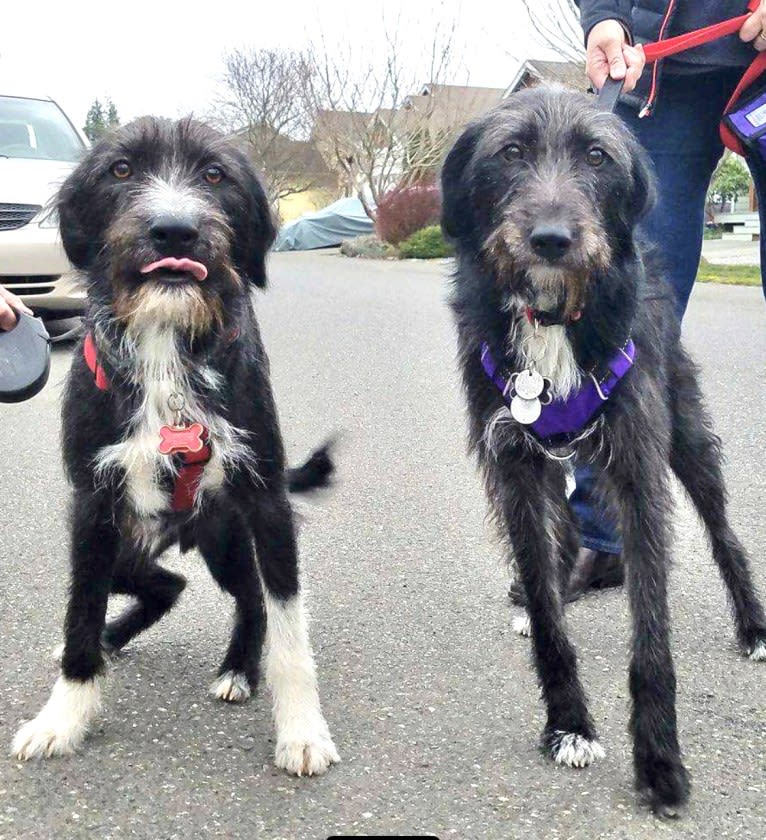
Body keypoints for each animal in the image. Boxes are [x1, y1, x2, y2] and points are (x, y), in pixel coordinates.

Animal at [10, 115, 340, 776]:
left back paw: (238, 668)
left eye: (214, 175)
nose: (174, 228)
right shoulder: (91, 508)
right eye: (121, 170)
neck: (168, 347)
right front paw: (63, 716)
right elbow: (79, 611)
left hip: (226, 536)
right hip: (127, 547)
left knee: (249, 599)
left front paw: (301, 728)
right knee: (162, 586)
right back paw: (111, 640)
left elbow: (290, 623)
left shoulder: (267, 503)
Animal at [444, 88, 766, 816]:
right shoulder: (514, 467)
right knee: (564, 535)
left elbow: (652, 636)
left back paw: (754, 627)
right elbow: (545, 615)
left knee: (725, 534)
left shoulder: (639, 468)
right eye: (511, 151)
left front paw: (660, 761)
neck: (553, 321)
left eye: (597, 156)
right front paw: (567, 724)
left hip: (686, 438)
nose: (552, 240)